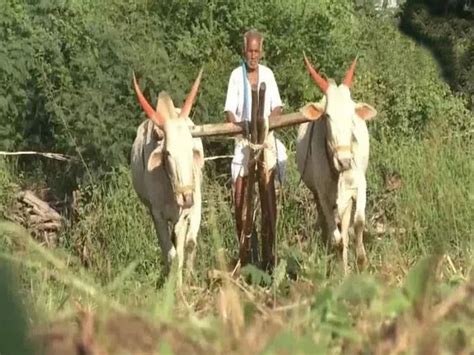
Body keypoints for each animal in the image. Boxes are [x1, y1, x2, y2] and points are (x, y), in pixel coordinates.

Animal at [130, 69, 204, 286]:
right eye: (168, 152)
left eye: (190, 148)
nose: (186, 197)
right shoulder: (158, 214)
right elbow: (171, 252)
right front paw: (173, 286)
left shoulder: (186, 212)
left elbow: (185, 246)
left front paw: (184, 285)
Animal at [296, 56, 378, 276]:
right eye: (327, 116)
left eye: (352, 116)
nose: (345, 160)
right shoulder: (324, 195)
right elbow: (337, 238)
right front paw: (342, 268)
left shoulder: (360, 186)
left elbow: (357, 224)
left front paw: (361, 261)